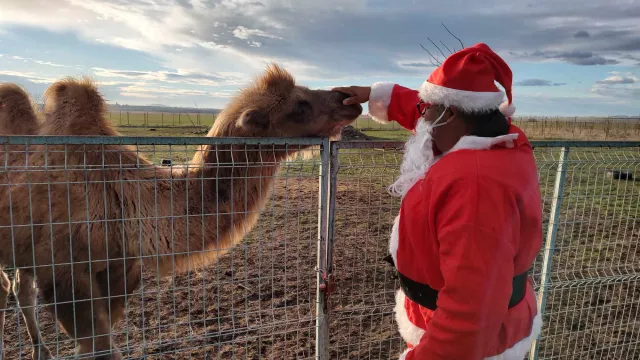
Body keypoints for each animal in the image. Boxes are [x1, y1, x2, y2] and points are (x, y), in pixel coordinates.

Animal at [0, 63, 360, 358]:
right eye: (300, 104)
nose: (347, 98)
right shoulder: (62, 271)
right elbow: (98, 348)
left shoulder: (121, 268)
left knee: (18, 288)